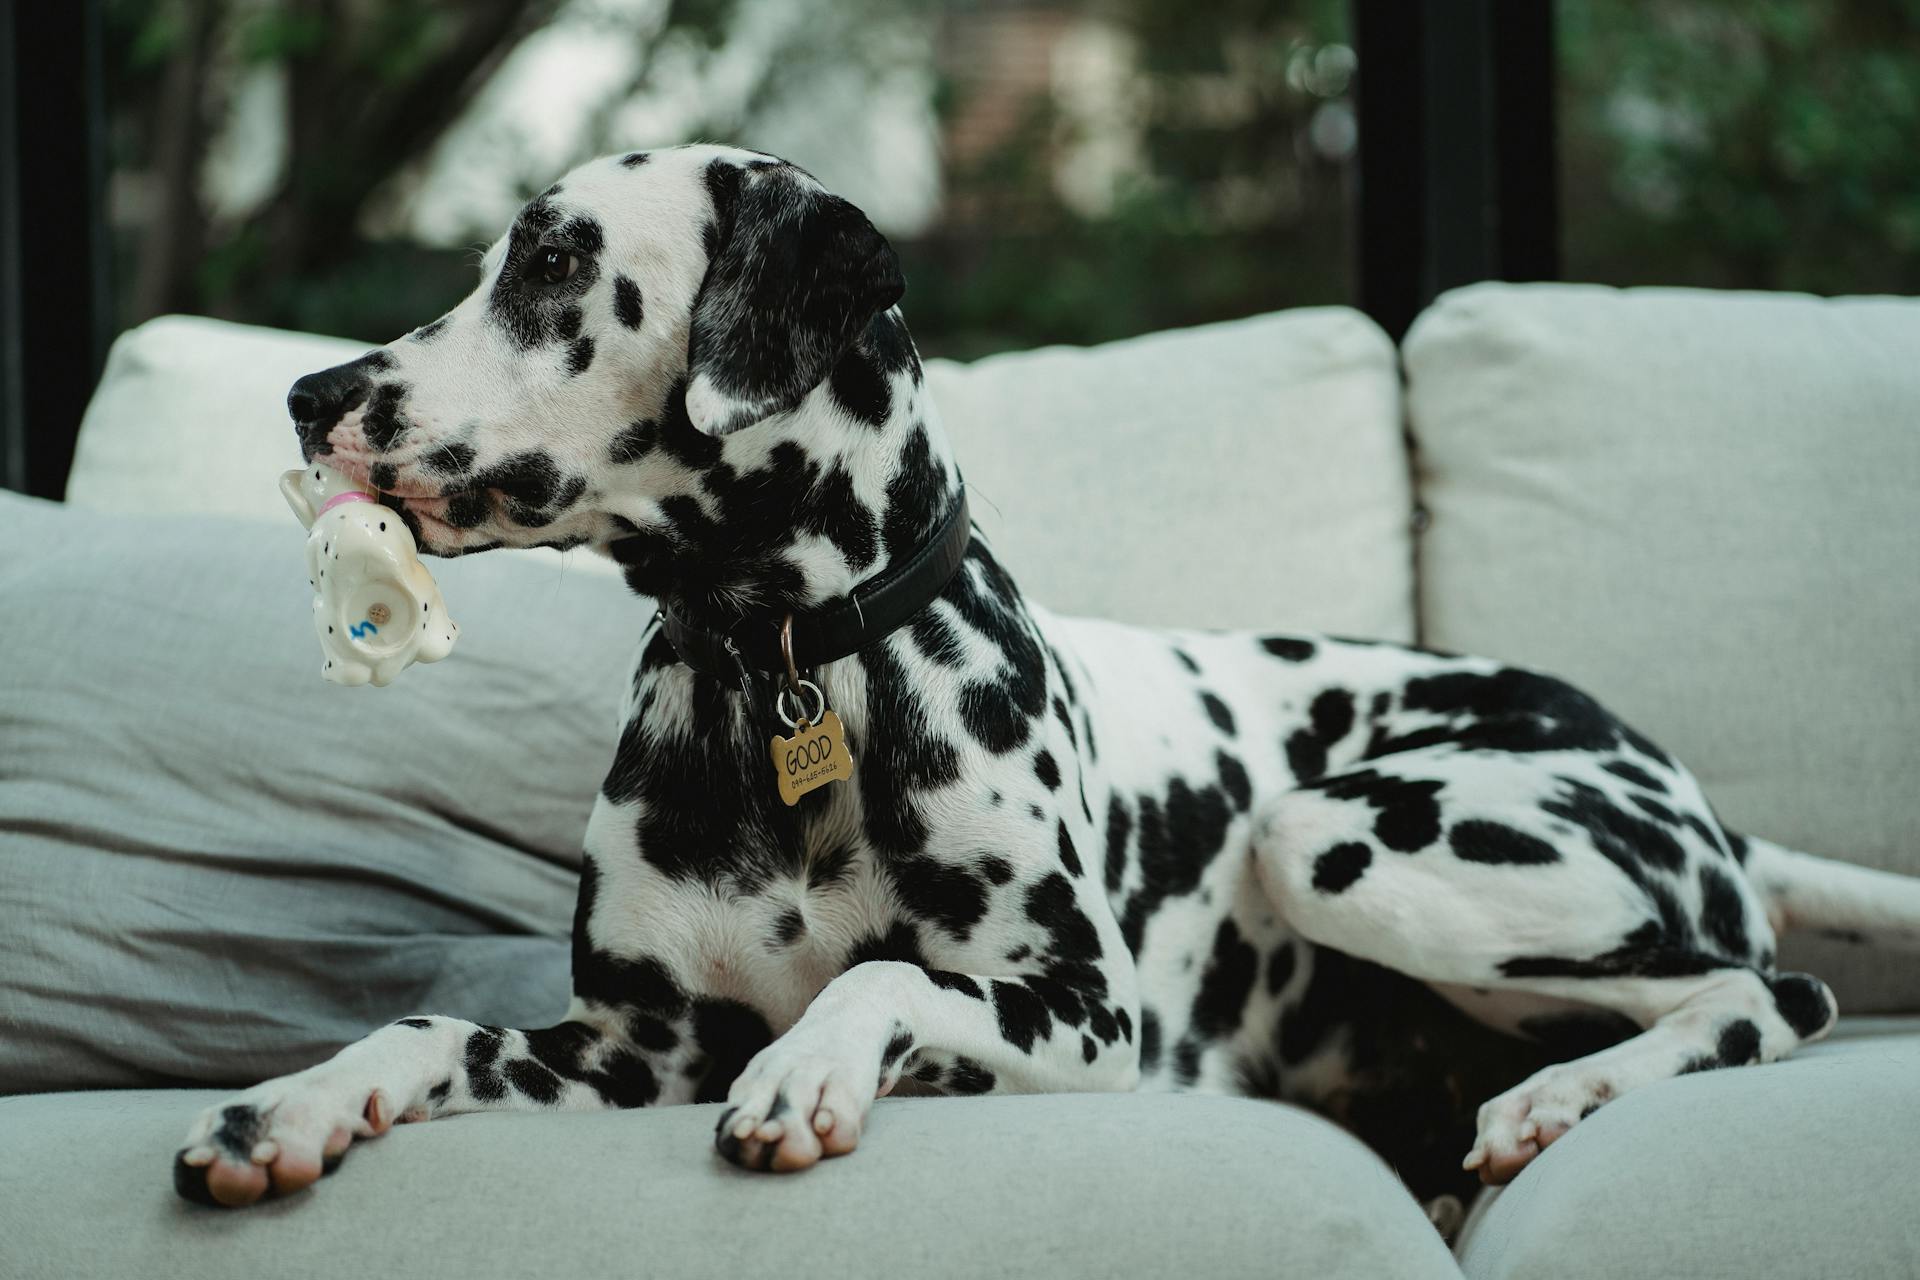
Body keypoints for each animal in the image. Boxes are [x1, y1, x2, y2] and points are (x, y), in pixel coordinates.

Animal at [176, 144, 1920, 1220]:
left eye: (553, 264)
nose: (309, 389)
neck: (785, 677)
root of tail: (1689, 793)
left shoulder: (1085, 1020)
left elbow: (889, 984)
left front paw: (811, 1069)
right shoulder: (628, 1055)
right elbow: (427, 1029)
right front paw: (292, 1108)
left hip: (1344, 839)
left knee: (1771, 991)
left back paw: (1559, 1103)